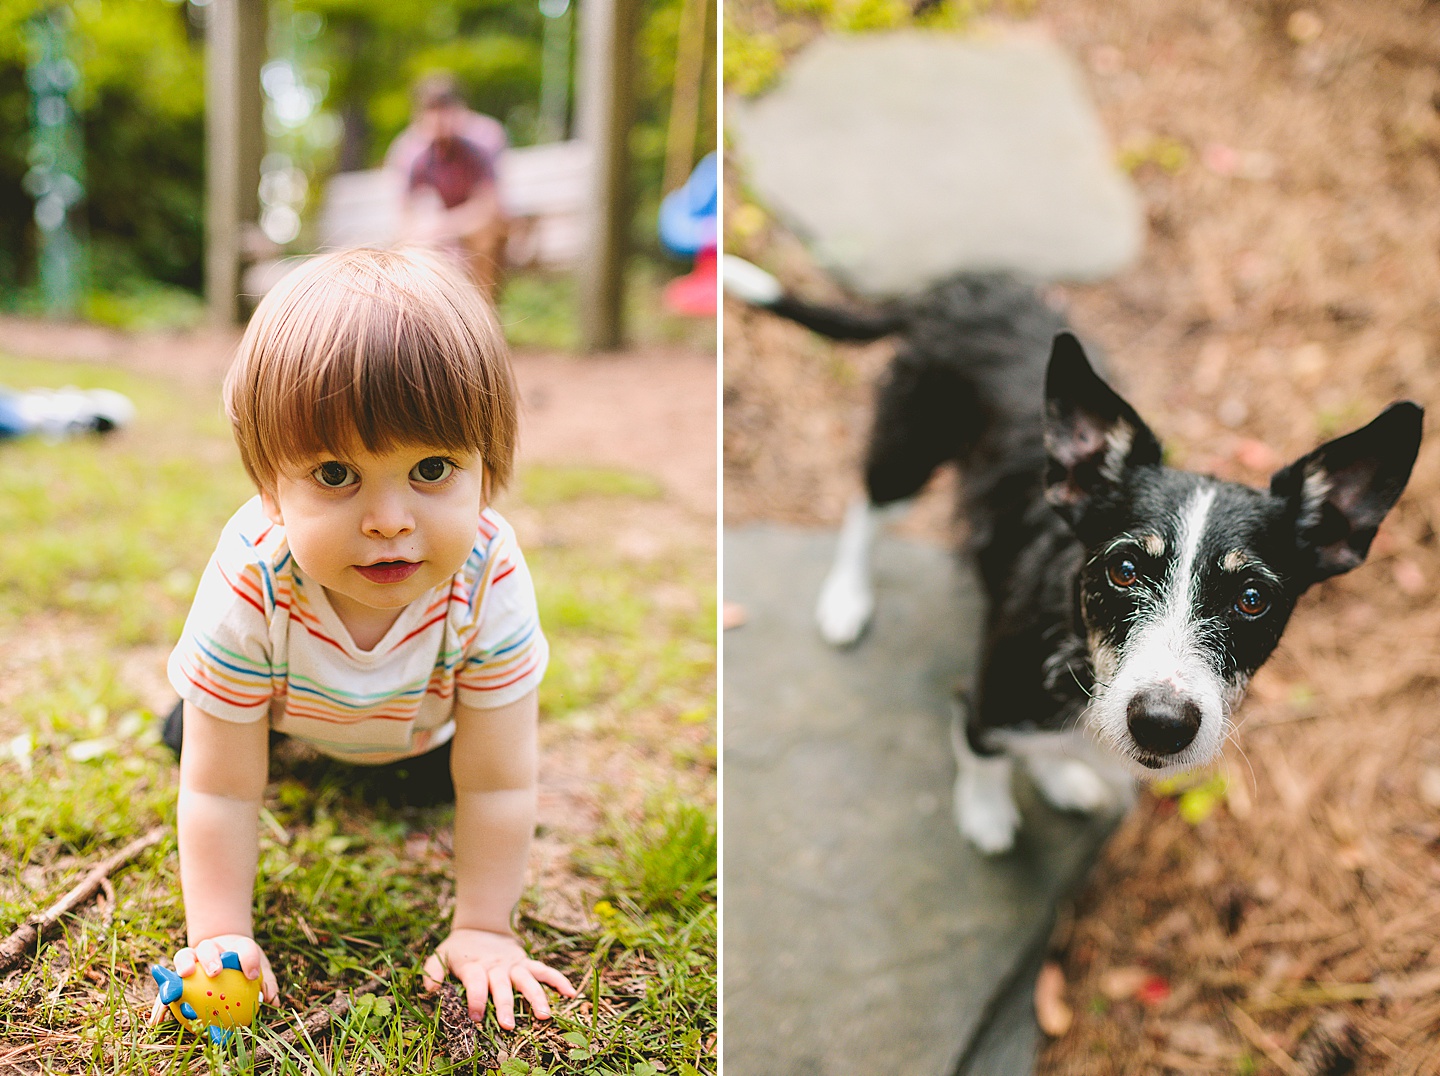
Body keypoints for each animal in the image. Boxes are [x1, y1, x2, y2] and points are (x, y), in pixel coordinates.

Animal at [725, 256, 1422, 852]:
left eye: (1253, 599)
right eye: (1124, 568)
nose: (1162, 723)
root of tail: (960, 285)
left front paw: (1060, 778)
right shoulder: (988, 699)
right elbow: (981, 749)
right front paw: (985, 813)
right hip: (911, 440)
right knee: (865, 508)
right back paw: (846, 598)